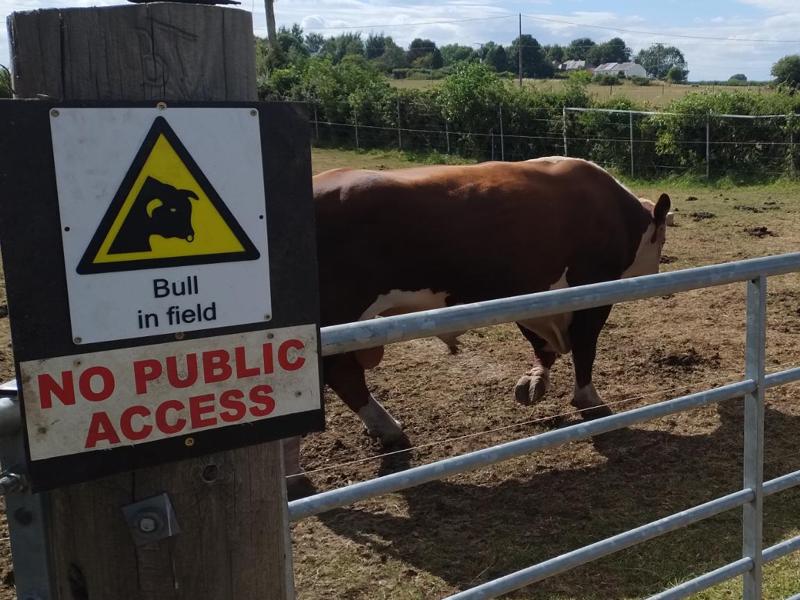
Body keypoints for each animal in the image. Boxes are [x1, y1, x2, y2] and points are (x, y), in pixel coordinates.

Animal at [285, 157, 670, 496]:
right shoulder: (591, 290)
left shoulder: (528, 295)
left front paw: (535, 381)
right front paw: (589, 398)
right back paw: (294, 473)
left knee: (344, 376)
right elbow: (585, 349)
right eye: (663, 240)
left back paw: (387, 431)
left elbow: (541, 345)